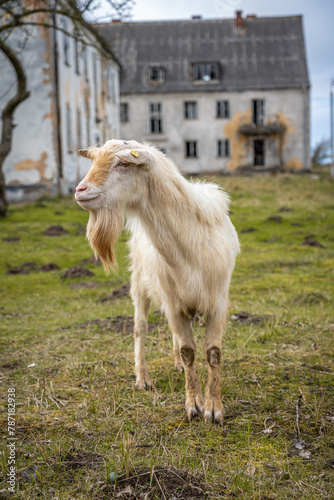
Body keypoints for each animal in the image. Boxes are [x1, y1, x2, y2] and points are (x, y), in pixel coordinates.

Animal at [75, 141, 240, 426]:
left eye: (123, 164)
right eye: (94, 161)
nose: (80, 190)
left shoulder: (217, 302)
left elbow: (213, 353)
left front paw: (214, 408)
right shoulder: (173, 304)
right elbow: (188, 351)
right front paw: (194, 404)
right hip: (140, 286)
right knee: (140, 329)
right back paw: (143, 378)